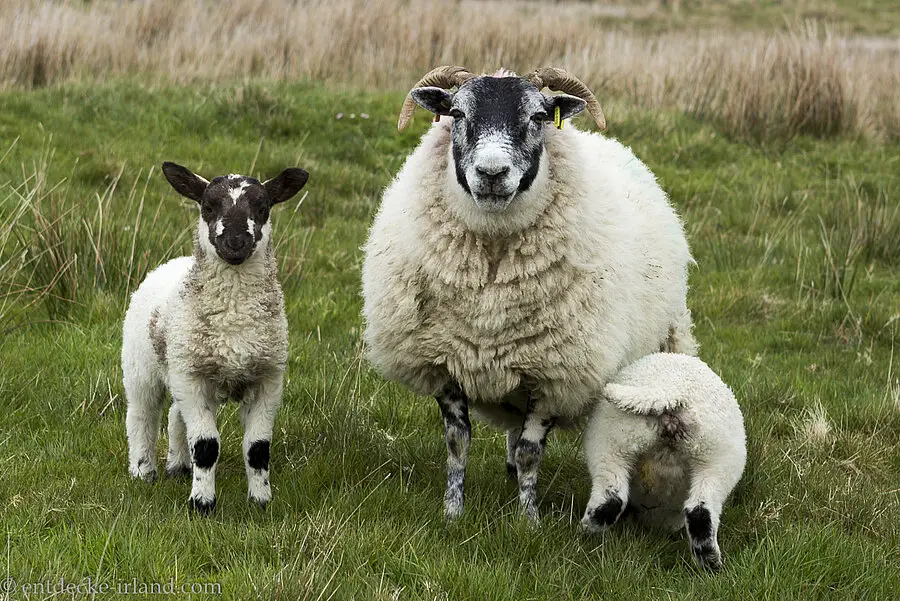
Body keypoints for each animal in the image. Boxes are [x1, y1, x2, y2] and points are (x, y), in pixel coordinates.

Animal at [122, 162, 310, 512]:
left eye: (262, 208)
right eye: (207, 207)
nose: (235, 242)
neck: (234, 319)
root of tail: (173, 262)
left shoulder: (268, 379)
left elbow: (258, 448)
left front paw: (261, 501)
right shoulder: (192, 378)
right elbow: (207, 446)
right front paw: (202, 503)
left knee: (174, 415)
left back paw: (178, 465)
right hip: (142, 367)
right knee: (142, 415)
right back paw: (143, 471)